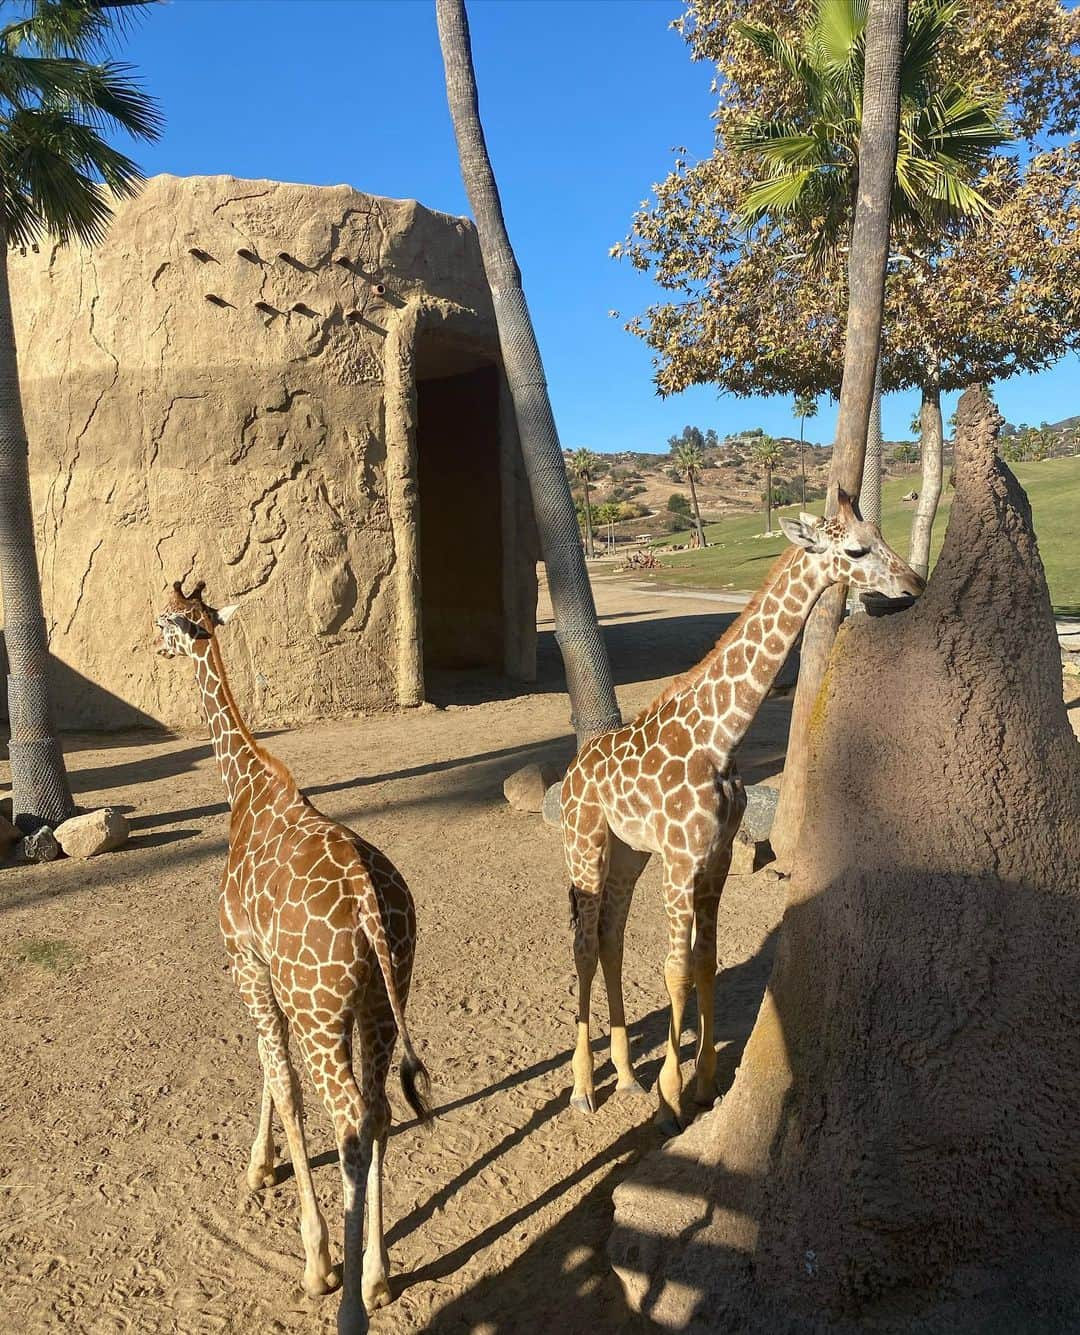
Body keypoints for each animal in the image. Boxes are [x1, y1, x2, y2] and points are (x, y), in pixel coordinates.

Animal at [153, 579, 432, 1329]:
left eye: (165, 621)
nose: (154, 648)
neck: (243, 788)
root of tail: (368, 900)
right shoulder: (266, 974)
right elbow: (266, 1071)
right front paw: (259, 1166)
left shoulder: (247, 965)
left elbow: (281, 1082)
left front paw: (316, 1256)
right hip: (383, 997)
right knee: (380, 1112)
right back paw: (381, 1277)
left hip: (323, 1012)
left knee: (350, 1118)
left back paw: (345, 1287)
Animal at [560, 496, 923, 1132]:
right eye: (856, 550)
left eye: (881, 536)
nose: (914, 584)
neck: (722, 737)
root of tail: (568, 776)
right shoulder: (681, 859)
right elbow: (675, 969)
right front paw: (671, 1100)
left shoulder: (718, 857)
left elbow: (706, 961)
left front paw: (703, 1085)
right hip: (584, 844)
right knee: (582, 946)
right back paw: (584, 1088)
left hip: (628, 853)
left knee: (610, 938)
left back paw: (626, 1077)